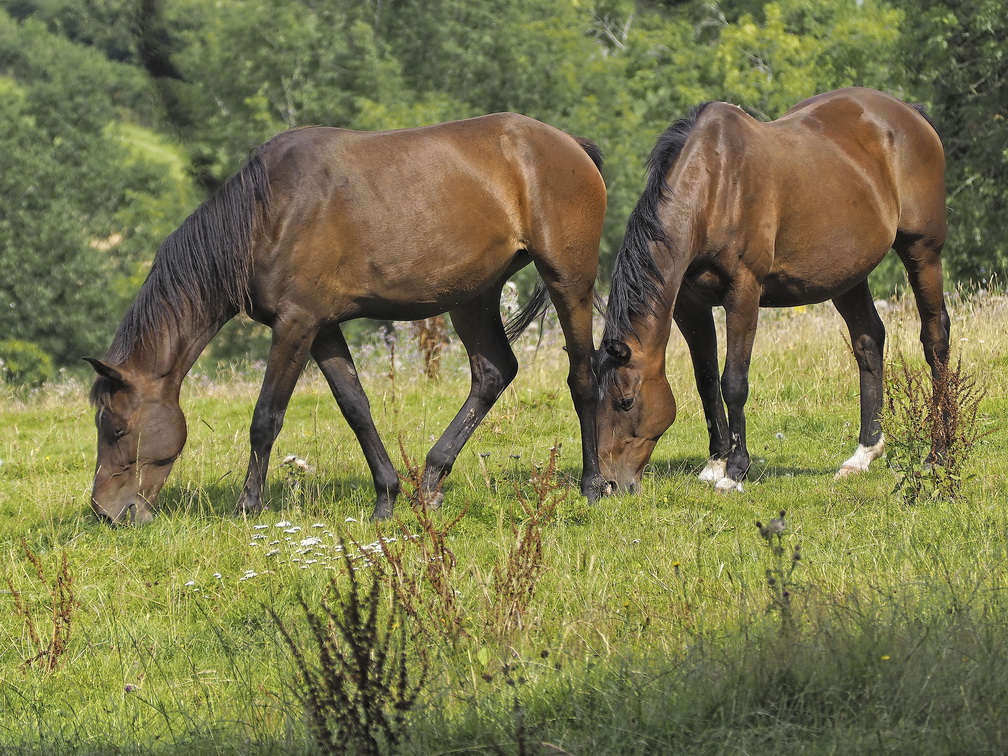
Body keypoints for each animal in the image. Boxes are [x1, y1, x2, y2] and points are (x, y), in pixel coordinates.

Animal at [85, 113, 609, 525]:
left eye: (116, 429)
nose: (105, 512)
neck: (268, 211)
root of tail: (569, 144)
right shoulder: (322, 328)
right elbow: (356, 407)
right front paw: (386, 498)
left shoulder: (296, 325)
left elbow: (265, 417)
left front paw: (248, 505)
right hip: (472, 297)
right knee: (494, 372)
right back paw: (431, 481)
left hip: (568, 280)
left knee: (583, 374)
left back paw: (592, 483)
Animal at [595, 88, 950, 493]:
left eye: (626, 401)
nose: (609, 483)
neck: (716, 186)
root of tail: (910, 113)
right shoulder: (689, 304)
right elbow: (706, 380)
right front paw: (715, 463)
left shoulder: (743, 293)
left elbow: (733, 382)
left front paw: (734, 472)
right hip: (846, 274)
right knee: (868, 341)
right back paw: (863, 454)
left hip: (923, 252)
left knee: (935, 338)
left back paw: (938, 454)